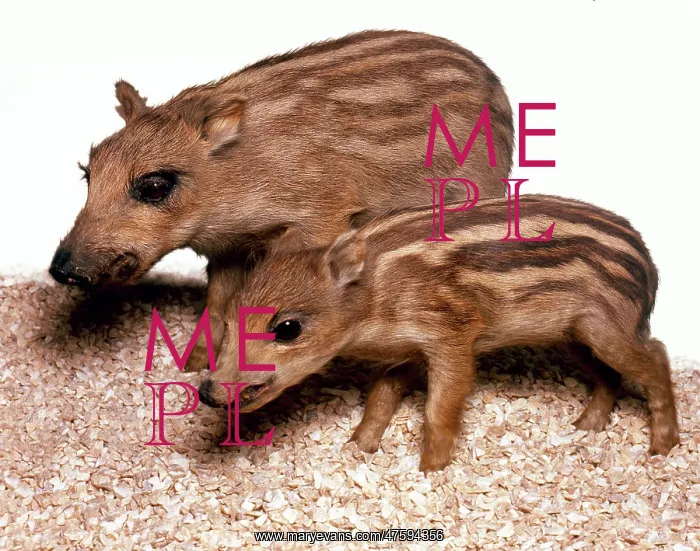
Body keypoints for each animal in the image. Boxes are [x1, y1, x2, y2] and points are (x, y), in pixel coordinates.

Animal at [48, 30, 514, 372]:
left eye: (155, 187)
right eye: (88, 174)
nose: (61, 270)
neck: (237, 178)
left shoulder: (322, 216)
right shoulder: (226, 248)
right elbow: (217, 302)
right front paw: (193, 367)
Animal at [199, 194, 680, 472]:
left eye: (287, 328)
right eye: (233, 320)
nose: (206, 391)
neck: (374, 298)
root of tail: (649, 265)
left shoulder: (452, 336)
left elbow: (439, 408)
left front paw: (430, 471)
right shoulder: (407, 347)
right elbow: (382, 395)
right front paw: (358, 449)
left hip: (605, 326)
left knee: (656, 356)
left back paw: (662, 449)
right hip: (573, 336)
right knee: (610, 375)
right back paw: (585, 427)